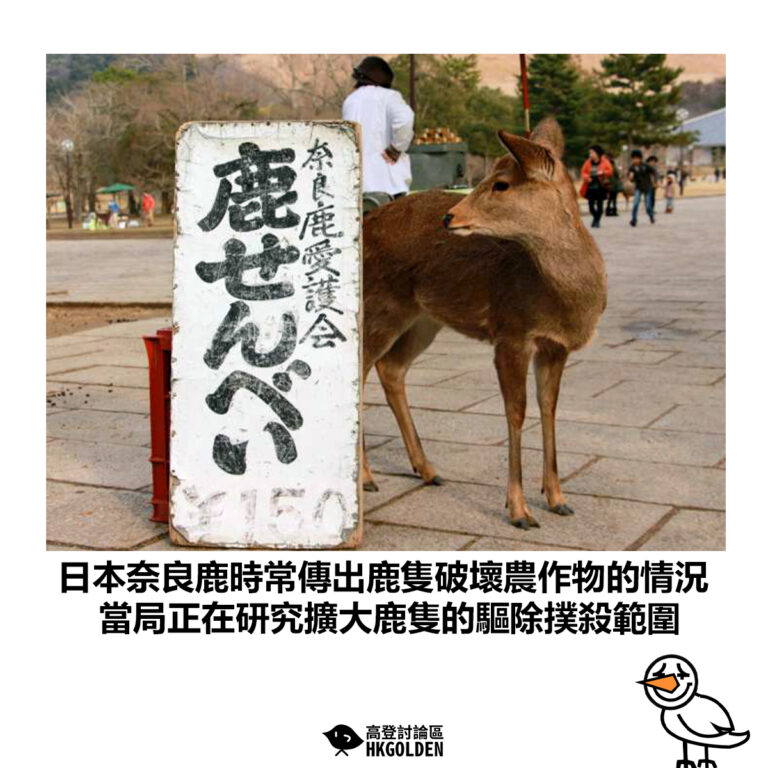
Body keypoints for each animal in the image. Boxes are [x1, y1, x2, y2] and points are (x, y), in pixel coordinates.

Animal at [361, 118, 607, 529]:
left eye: (501, 183)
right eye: (487, 176)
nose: (450, 216)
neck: (564, 301)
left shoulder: (555, 346)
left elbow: (549, 407)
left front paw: (558, 498)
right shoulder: (510, 332)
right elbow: (516, 411)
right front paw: (519, 511)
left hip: (423, 318)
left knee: (390, 368)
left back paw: (428, 470)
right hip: (379, 304)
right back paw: (366, 477)